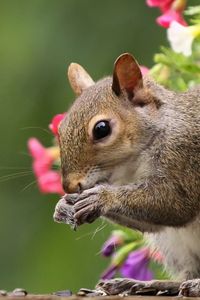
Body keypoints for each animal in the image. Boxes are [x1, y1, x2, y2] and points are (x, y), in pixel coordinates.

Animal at [53, 52, 200, 296]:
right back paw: (141, 284)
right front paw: (63, 206)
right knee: (186, 275)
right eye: (60, 128)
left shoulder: (184, 159)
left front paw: (101, 198)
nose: (69, 186)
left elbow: (175, 204)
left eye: (101, 129)